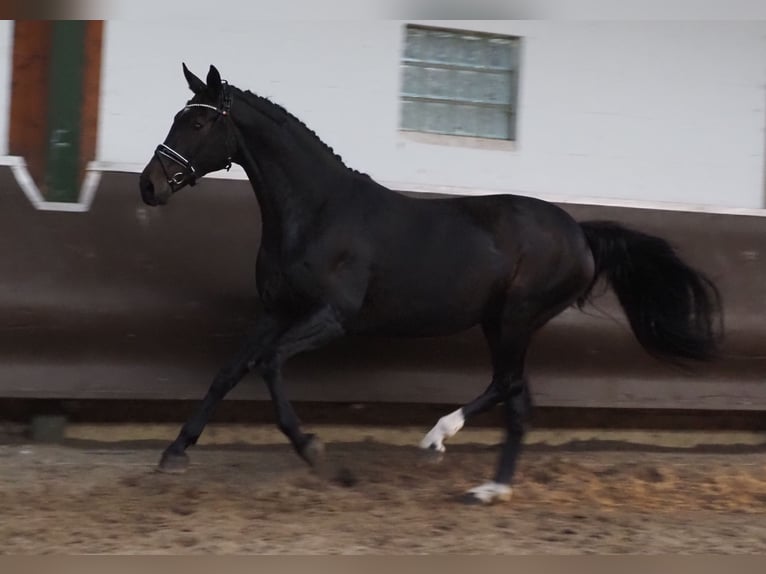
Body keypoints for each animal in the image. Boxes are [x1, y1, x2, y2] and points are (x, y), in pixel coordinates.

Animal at [141, 64, 724, 504]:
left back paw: (450, 451)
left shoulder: (331, 317)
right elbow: (229, 372)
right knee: (516, 397)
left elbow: (269, 365)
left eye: (198, 123)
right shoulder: (277, 310)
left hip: (516, 318)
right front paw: (175, 453)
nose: (150, 186)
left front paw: (312, 449)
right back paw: (482, 482)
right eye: (177, 117)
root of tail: (580, 233)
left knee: (508, 387)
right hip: (499, 322)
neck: (317, 213)